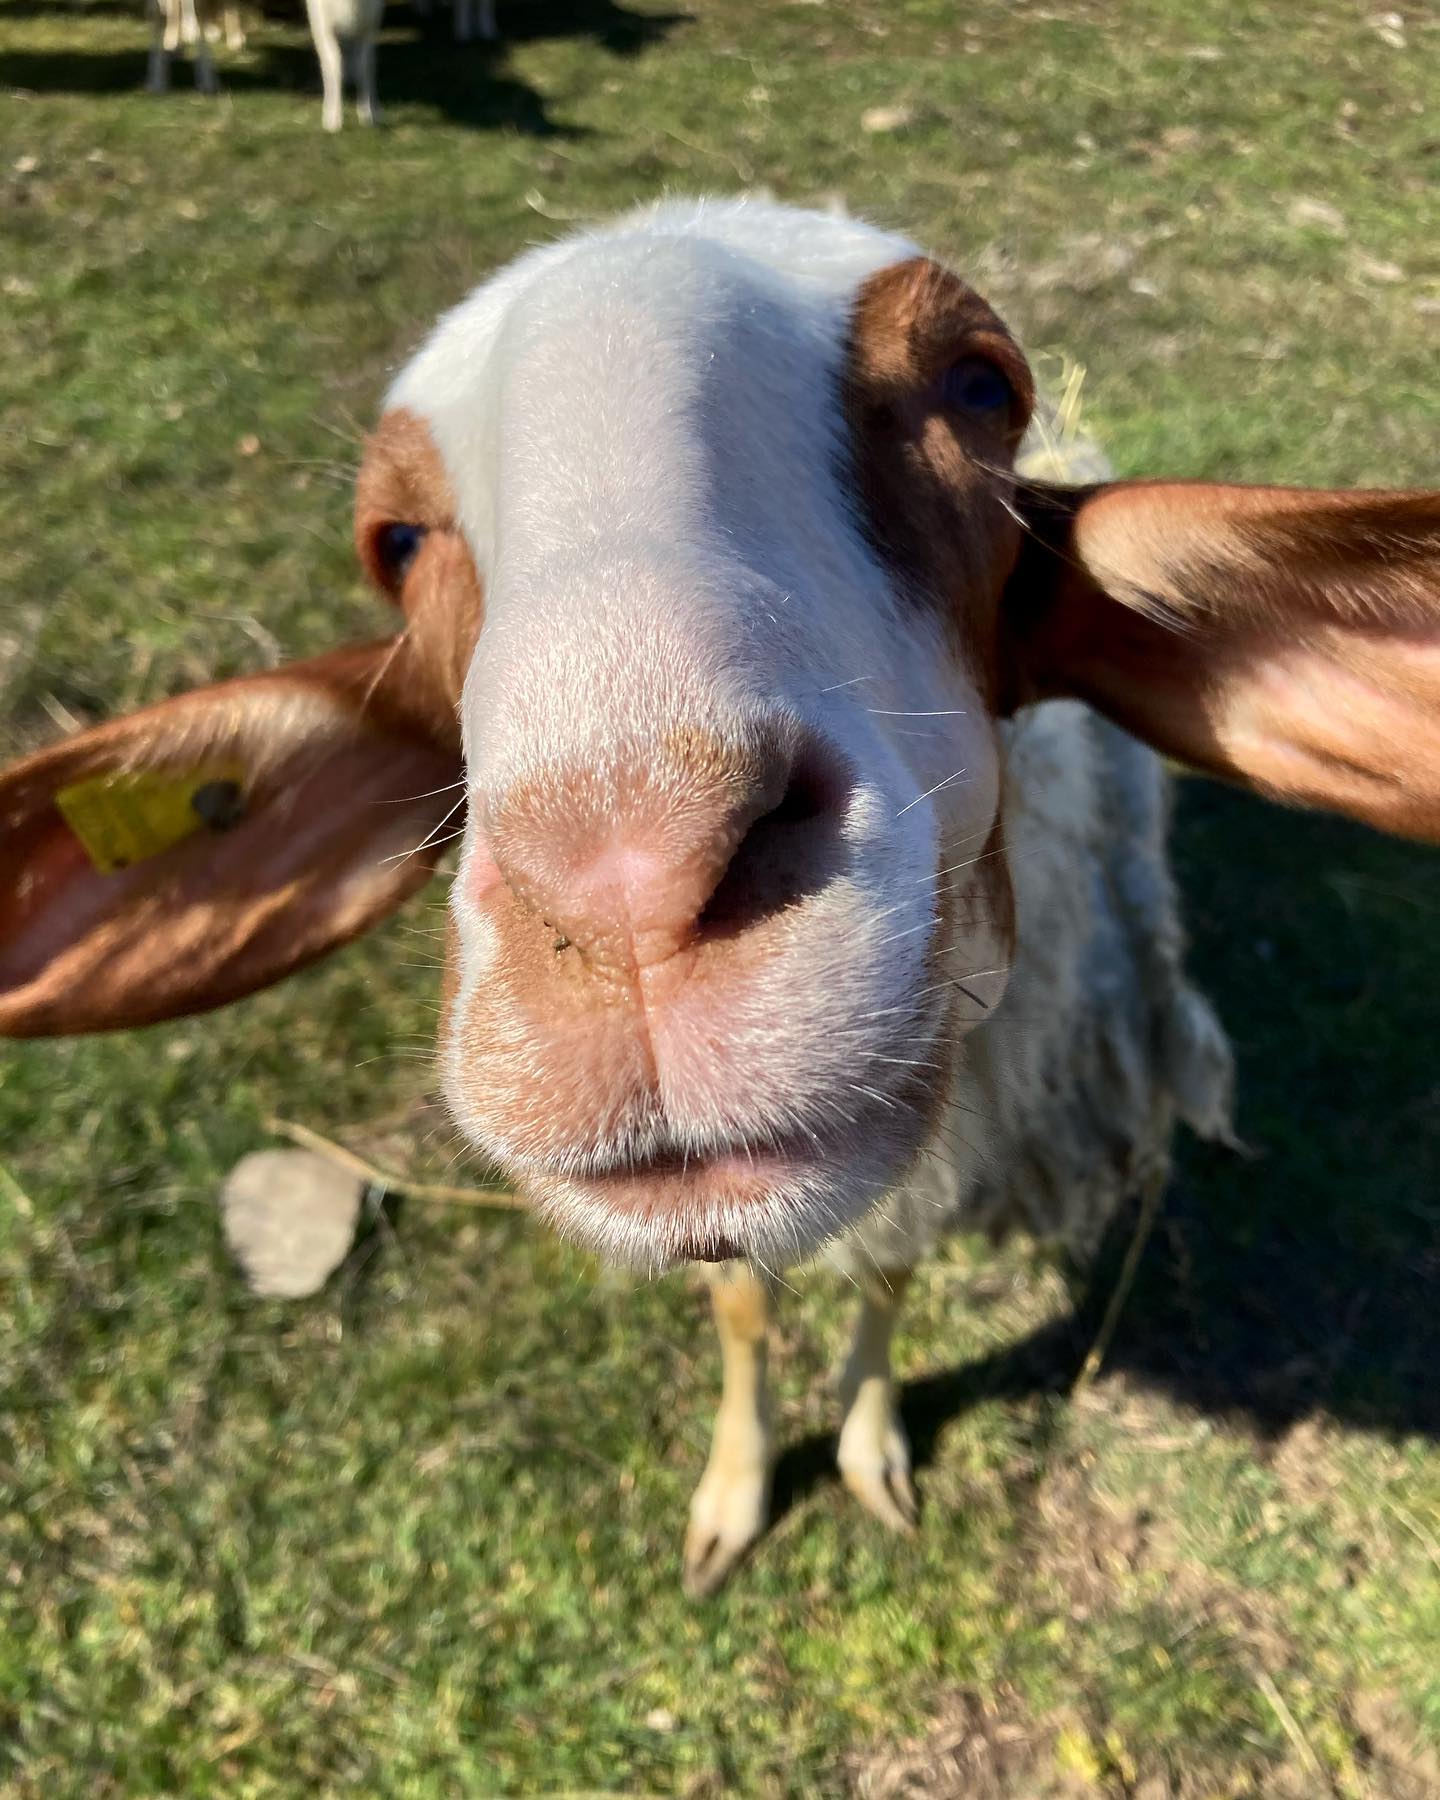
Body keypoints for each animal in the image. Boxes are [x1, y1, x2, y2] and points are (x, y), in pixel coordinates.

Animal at [2, 199, 1437, 1596]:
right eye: (394, 541)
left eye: (981, 387)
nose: (626, 876)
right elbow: (745, 1307)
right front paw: (735, 1494)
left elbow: (888, 1268)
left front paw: (867, 1450)